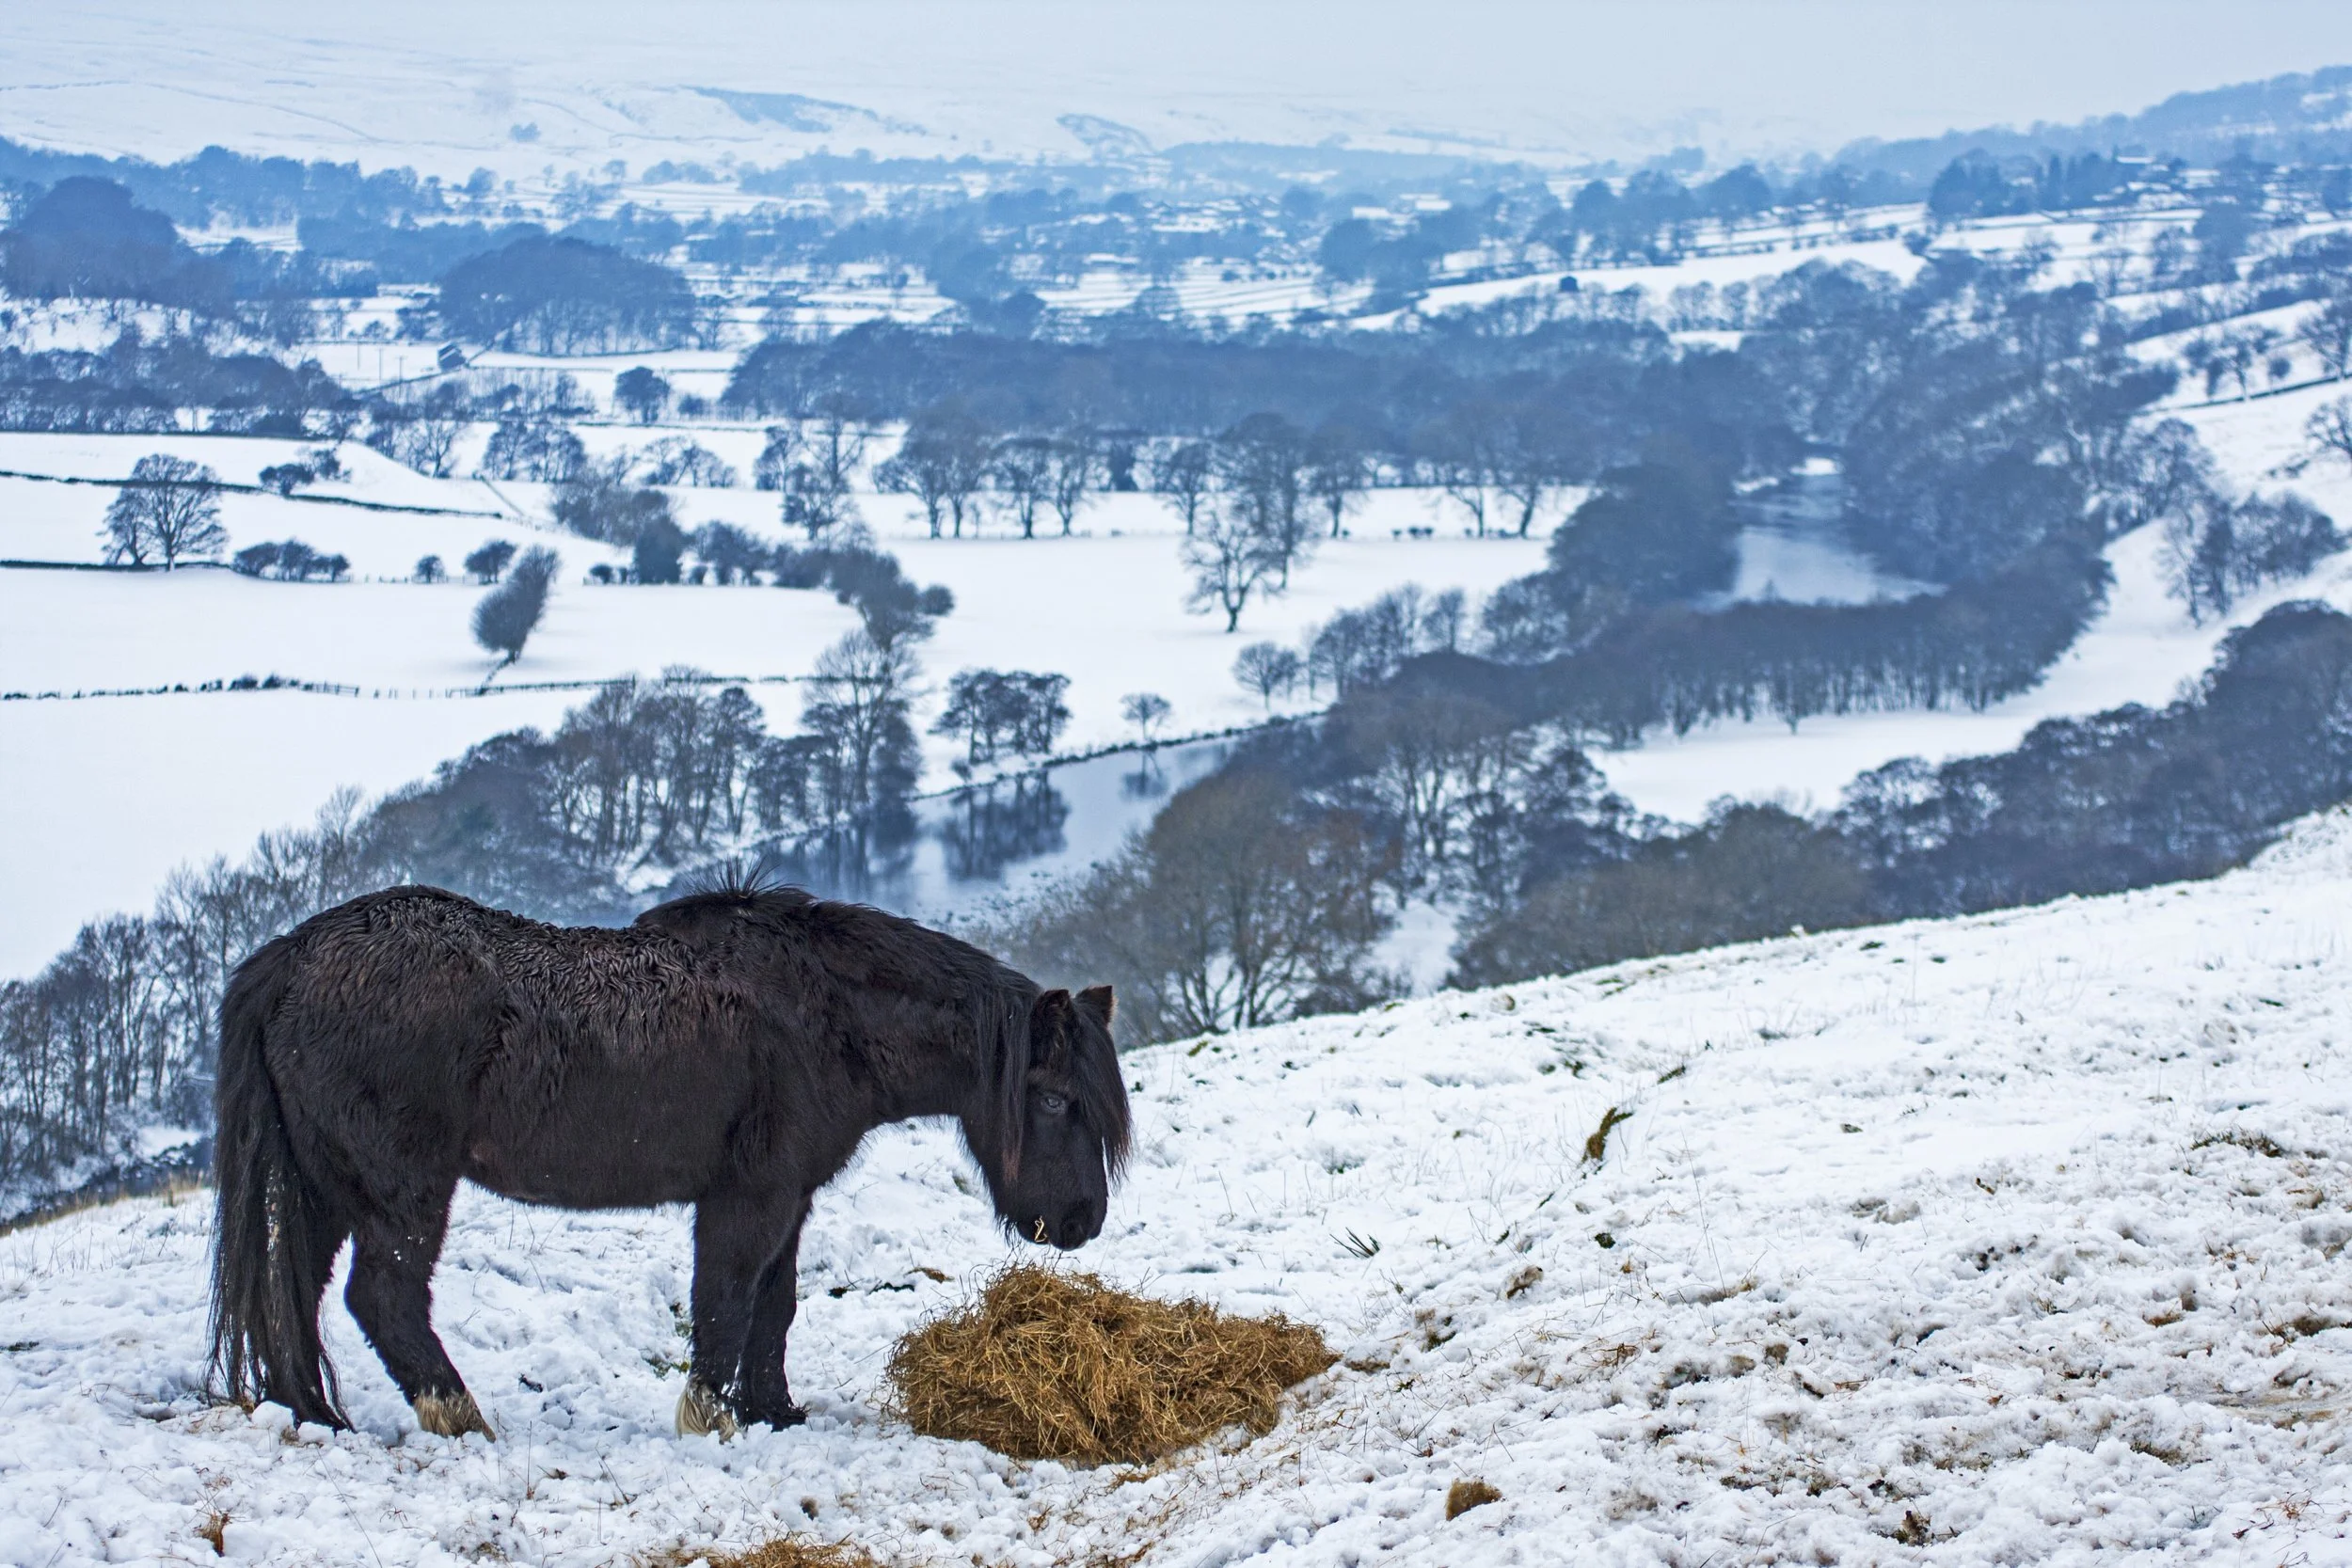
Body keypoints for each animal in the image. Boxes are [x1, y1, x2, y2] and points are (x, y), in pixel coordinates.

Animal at [208, 882, 1130, 1441]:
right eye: (1054, 1100)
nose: (1082, 1221)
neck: (824, 1015)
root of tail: (294, 957)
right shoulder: (747, 1197)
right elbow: (725, 1301)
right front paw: (711, 1419)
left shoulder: (789, 1197)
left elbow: (774, 1307)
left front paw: (773, 1411)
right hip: (402, 1192)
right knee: (385, 1299)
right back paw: (462, 1417)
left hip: (325, 1188)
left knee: (298, 1294)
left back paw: (314, 1415)